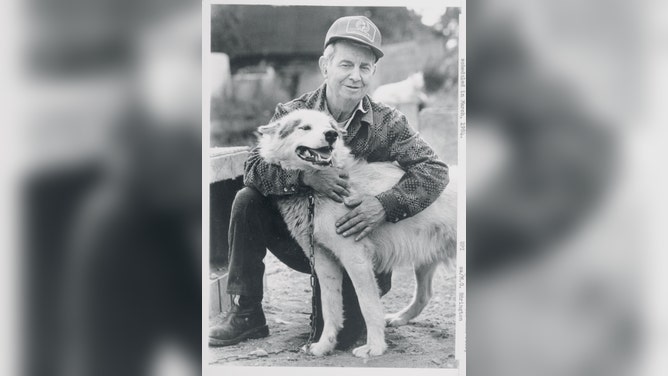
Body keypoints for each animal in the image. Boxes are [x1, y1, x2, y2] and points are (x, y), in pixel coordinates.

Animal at [258, 108, 456, 358]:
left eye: (329, 126)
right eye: (304, 127)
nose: (331, 135)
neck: (312, 193)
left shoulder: (355, 258)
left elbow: (368, 306)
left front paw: (375, 347)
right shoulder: (323, 261)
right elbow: (330, 307)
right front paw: (324, 345)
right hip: (424, 262)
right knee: (425, 295)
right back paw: (399, 318)